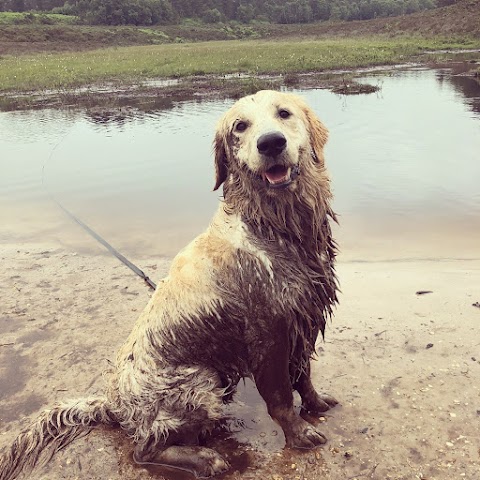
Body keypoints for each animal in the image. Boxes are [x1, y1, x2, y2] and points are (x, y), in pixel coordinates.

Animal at [0, 89, 338, 476]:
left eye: (284, 113)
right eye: (240, 126)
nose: (270, 143)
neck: (275, 227)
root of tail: (113, 405)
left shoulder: (303, 317)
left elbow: (304, 376)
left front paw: (316, 403)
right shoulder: (268, 333)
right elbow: (281, 396)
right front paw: (299, 434)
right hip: (200, 381)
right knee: (144, 450)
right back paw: (205, 458)